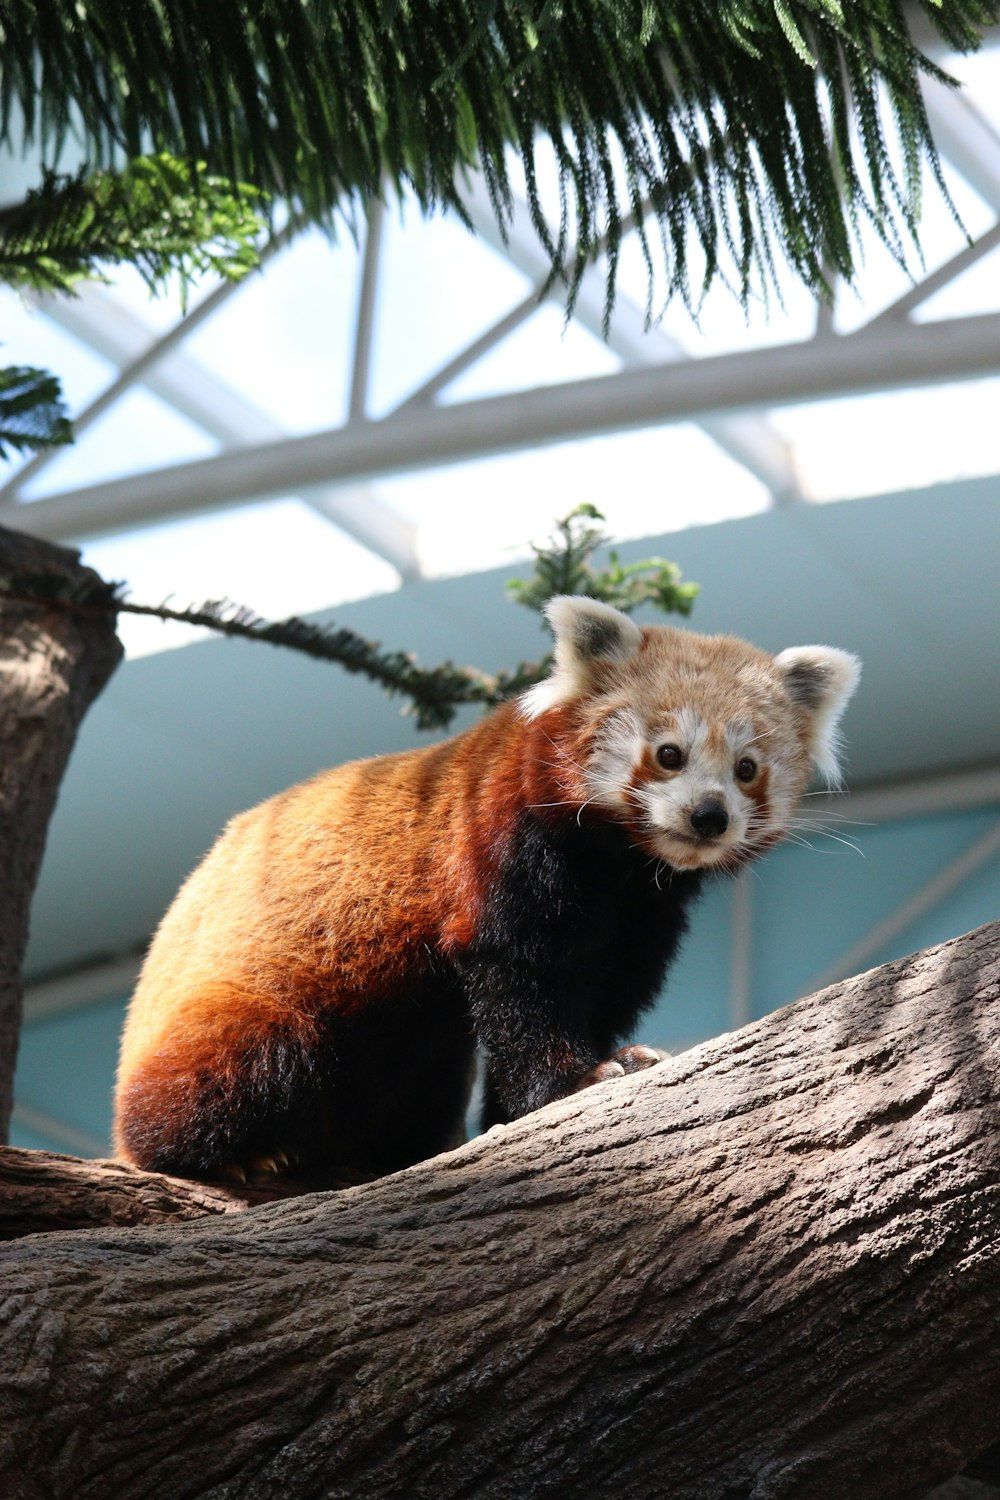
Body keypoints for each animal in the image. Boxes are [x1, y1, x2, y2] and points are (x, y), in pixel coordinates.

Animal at [111, 597, 863, 1182]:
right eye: (669, 754)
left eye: (747, 770)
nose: (710, 816)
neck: (620, 865)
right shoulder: (502, 839)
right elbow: (518, 972)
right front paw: (571, 1082)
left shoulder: (644, 911)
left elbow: (607, 988)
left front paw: (577, 1078)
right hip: (243, 1009)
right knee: (251, 1059)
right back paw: (232, 1154)